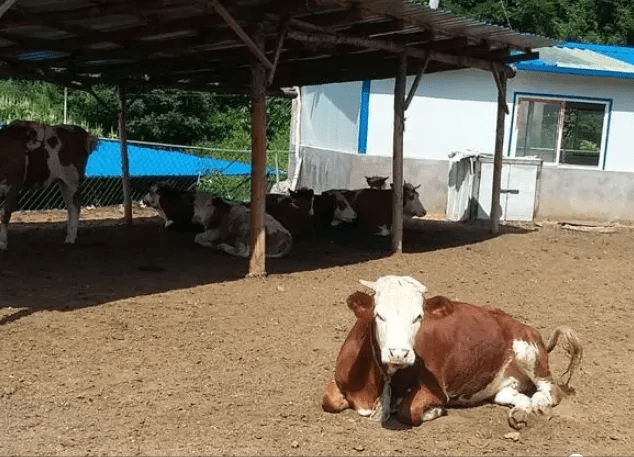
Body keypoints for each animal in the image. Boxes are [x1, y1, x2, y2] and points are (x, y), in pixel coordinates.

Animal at [0, 120, 97, 249]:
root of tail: (83, 133)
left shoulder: (13, 186)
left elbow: (5, 214)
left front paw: (2, 243)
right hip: (64, 182)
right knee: (71, 205)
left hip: (72, 180)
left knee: (74, 206)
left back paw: (71, 238)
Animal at [324, 276, 580, 430]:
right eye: (379, 315)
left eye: (419, 316)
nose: (399, 353)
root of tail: (518, 323)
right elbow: (329, 400)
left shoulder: (434, 389)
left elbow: (410, 411)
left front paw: (434, 411)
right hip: (506, 383)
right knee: (510, 396)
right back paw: (520, 412)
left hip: (528, 352)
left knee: (549, 391)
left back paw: (538, 405)